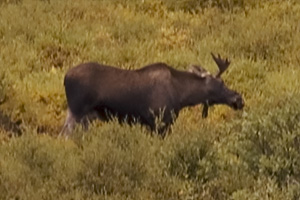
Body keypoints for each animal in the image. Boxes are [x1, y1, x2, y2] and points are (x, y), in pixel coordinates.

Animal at [59, 53, 245, 136]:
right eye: (221, 83)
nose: (239, 99)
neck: (181, 96)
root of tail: (65, 77)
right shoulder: (159, 123)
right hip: (76, 111)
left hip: (86, 117)